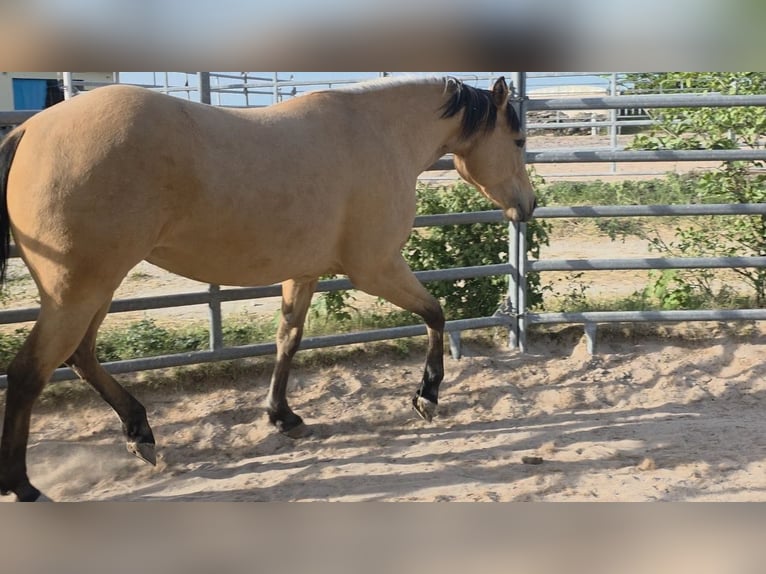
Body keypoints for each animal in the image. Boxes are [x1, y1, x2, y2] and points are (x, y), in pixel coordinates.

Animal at [0, 75, 535, 501]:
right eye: (518, 139)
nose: (527, 206)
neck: (380, 135)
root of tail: (30, 130)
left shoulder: (304, 272)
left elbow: (287, 341)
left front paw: (283, 416)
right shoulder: (376, 268)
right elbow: (435, 313)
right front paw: (427, 395)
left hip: (97, 286)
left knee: (80, 357)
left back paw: (140, 433)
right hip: (79, 289)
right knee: (29, 372)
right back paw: (23, 485)